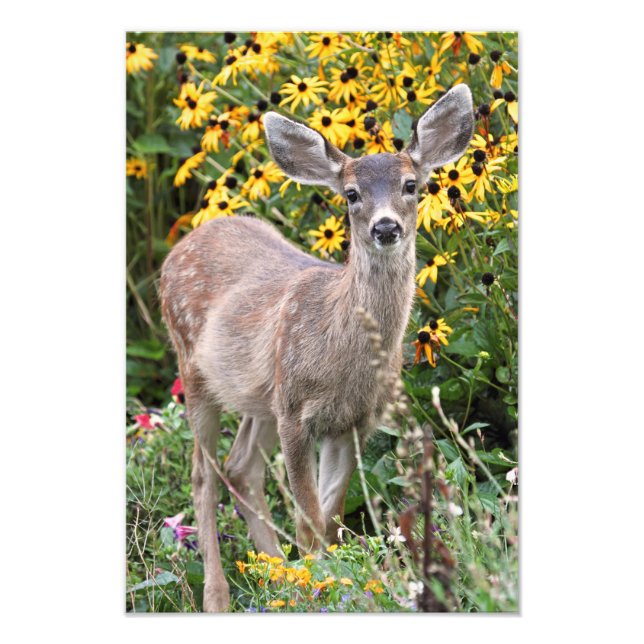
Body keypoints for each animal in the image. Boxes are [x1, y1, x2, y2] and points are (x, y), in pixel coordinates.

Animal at [159, 84, 474, 612]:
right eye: (351, 194)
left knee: (241, 467)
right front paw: (316, 585)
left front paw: (324, 582)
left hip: (260, 395)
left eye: (412, 185)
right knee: (204, 477)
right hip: (195, 370)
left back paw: (274, 573)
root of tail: (178, 248)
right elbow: (308, 520)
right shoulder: (295, 413)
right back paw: (219, 597)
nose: (385, 228)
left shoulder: (353, 423)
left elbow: (328, 519)